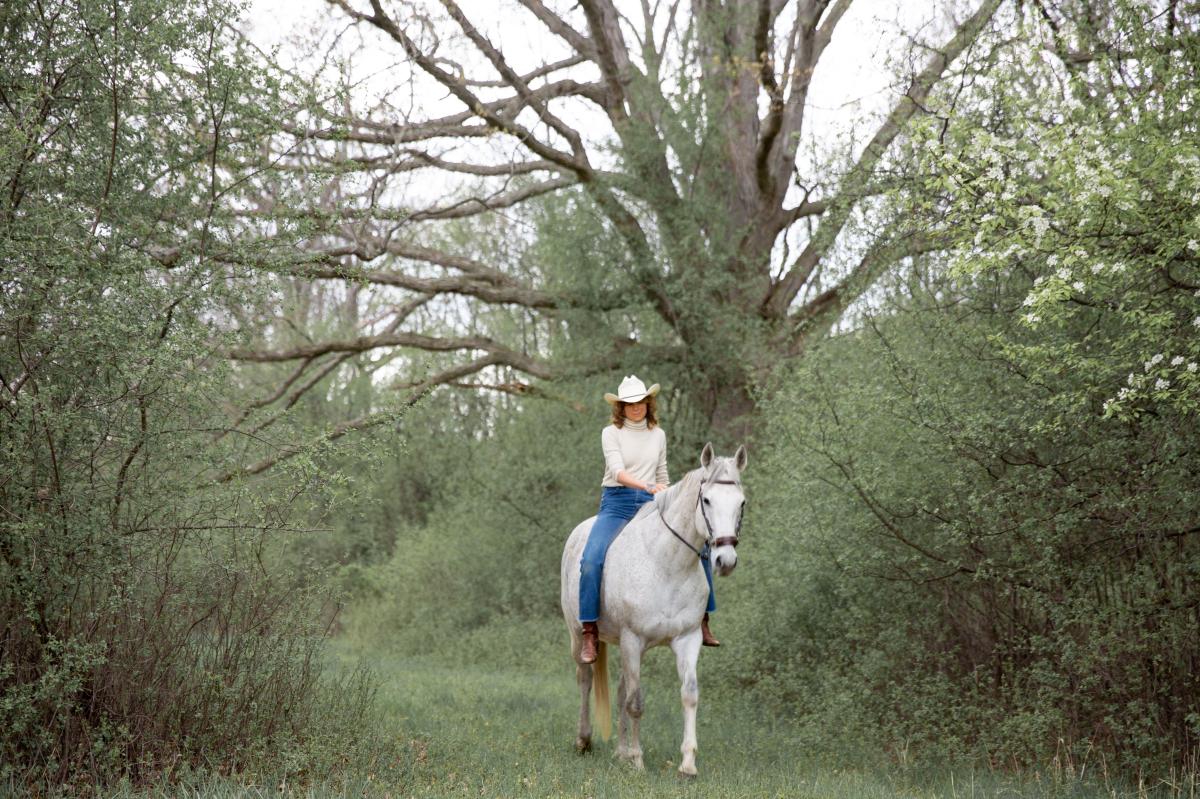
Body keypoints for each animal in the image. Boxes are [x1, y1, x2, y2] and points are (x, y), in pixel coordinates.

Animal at [559, 439, 744, 772]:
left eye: (742, 503)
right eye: (707, 500)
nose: (725, 561)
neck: (666, 564)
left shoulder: (687, 639)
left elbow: (689, 695)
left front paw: (687, 764)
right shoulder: (633, 640)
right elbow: (636, 702)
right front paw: (637, 761)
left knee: (620, 688)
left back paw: (619, 751)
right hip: (579, 635)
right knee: (585, 679)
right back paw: (584, 741)